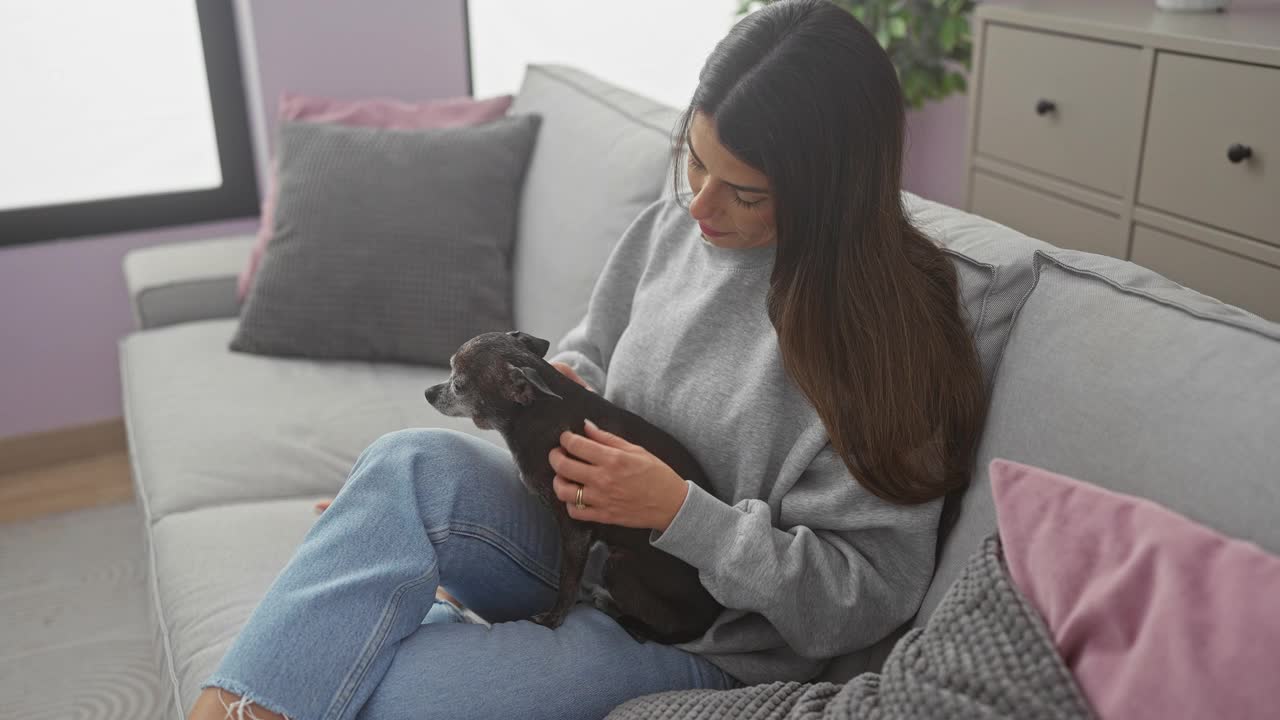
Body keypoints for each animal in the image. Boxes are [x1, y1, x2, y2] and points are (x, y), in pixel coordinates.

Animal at [424, 327, 727, 640]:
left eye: (458, 385)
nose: (428, 393)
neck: (540, 410)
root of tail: (707, 622)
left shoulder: (576, 528)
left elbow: (567, 579)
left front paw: (554, 618)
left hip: (618, 566)